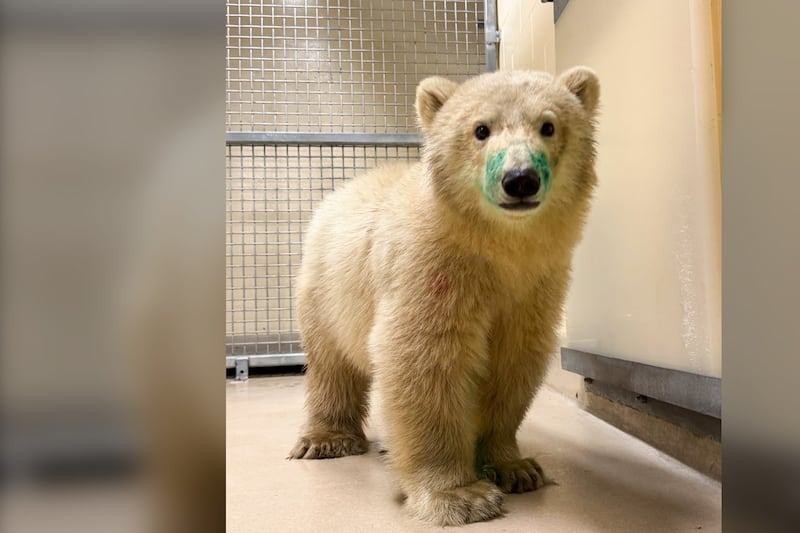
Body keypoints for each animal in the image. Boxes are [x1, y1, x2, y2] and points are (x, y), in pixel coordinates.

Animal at [288, 66, 600, 526]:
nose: (520, 179)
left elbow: (512, 362)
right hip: (326, 286)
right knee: (332, 363)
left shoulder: (534, 286)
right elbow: (424, 358)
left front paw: (515, 467)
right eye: (480, 129)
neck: (495, 250)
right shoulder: (433, 270)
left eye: (548, 125)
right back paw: (327, 439)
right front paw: (461, 496)